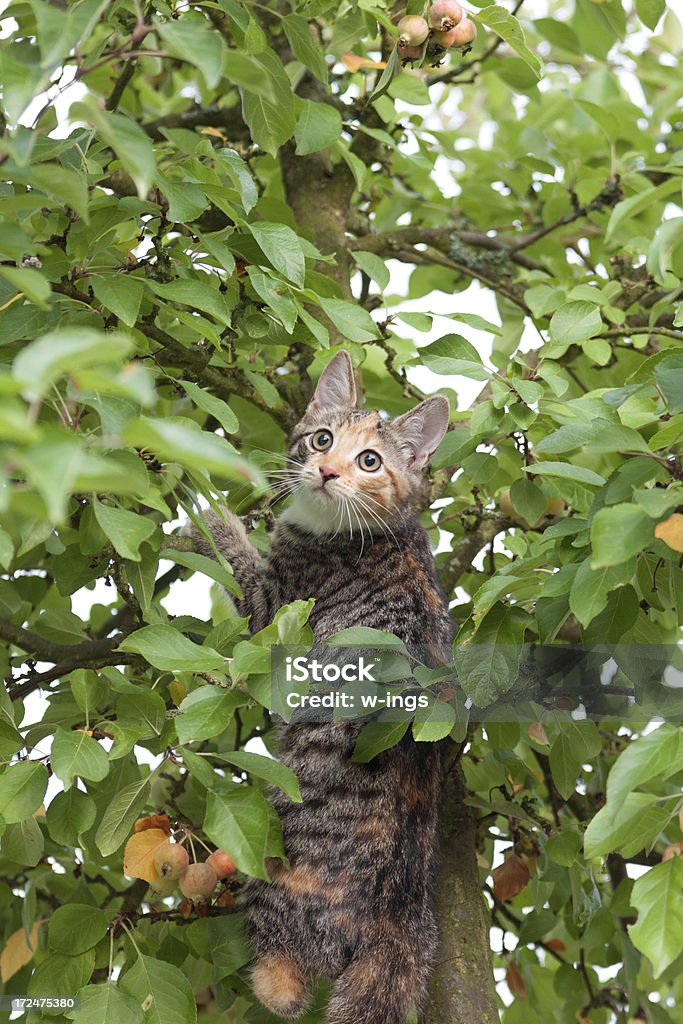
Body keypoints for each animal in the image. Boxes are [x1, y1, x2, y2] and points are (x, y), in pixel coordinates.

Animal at [189, 348, 454, 1019]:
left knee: (281, 988)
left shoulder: (274, 607)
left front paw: (205, 509)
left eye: (371, 461)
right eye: (323, 439)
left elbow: (239, 565)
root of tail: (397, 923)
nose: (328, 471)